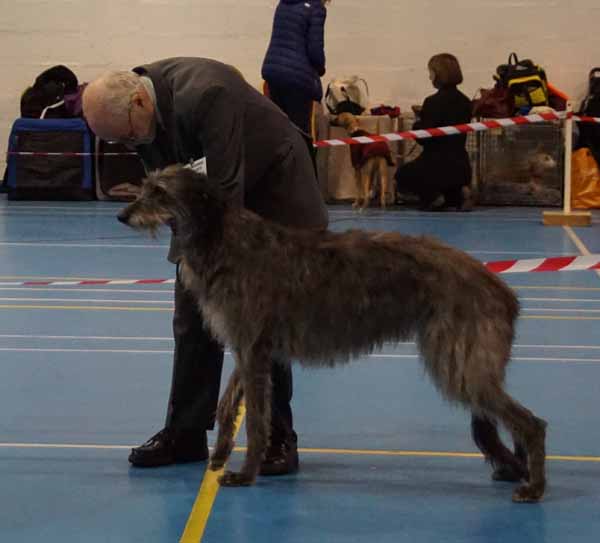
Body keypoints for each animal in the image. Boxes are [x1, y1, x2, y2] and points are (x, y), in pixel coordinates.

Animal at [117, 166, 548, 506]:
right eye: (145, 185)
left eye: (159, 192)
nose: (122, 214)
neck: (223, 238)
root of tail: (501, 289)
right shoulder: (250, 348)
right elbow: (227, 406)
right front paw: (221, 454)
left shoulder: (253, 350)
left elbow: (256, 420)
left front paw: (245, 473)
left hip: (459, 362)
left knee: (531, 422)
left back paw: (535, 486)